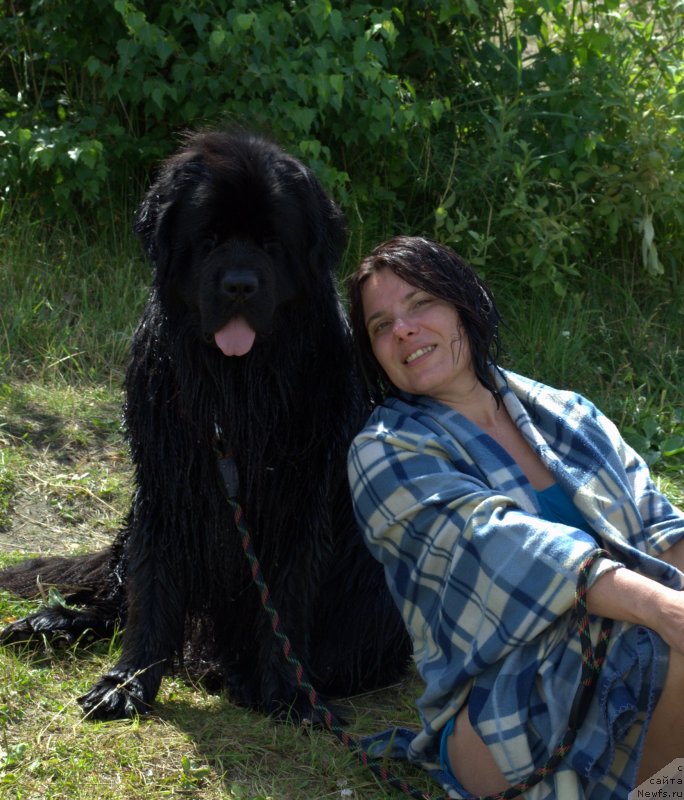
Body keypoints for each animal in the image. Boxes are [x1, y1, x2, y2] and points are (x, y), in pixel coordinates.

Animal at [1, 130, 412, 720]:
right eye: (211, 238)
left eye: (271, 243)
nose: (239, 285)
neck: (234, 388)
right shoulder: (165, 483)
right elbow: (150, 588)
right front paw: (127, 683)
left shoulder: (299, 496)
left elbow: (287, 595)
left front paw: (289, 694)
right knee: (115, 592)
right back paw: (53, 621)